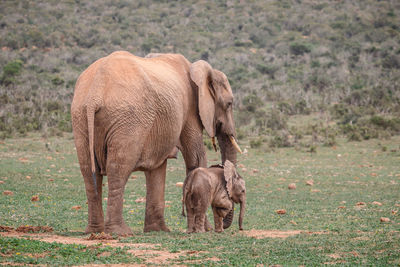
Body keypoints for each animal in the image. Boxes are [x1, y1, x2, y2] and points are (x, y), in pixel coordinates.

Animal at [71, 51, 241, 236]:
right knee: (118, 168)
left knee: (88, 170)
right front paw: (206, 229)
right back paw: (120, 232)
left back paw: (94, 231)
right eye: (229, 103)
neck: (197, 69)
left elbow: (157, 167)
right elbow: (195, 158)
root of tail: (96, 91)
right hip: (128, 120)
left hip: (80, 116)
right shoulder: (190, 110)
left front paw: (158, 230)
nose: (224, 225)